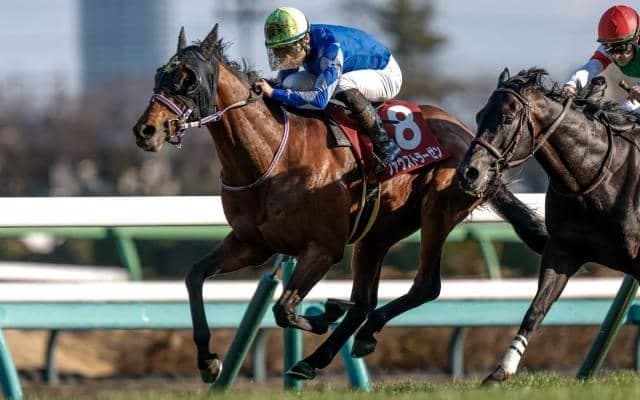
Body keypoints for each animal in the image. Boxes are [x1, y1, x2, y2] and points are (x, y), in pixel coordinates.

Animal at [132, 25, 548, 383]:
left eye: (188, 78)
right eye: (158, 74)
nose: (145, 130)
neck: (273, 156)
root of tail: (471, 138)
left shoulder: (322, 249)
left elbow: (284, 308)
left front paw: (323, 314)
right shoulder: (251, 244)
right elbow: (195, 276)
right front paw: (207, 361)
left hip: (438, 210)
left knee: (424, 287)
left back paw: (358, 335)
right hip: (376, 234)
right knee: (364, 301)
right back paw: (317, 358)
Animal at [457, 67, 640, 383]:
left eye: (507, 117)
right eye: (480, 116)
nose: (469, 173)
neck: (595, 178)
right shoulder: (563, 251)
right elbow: (536, 310)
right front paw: (500, 372)